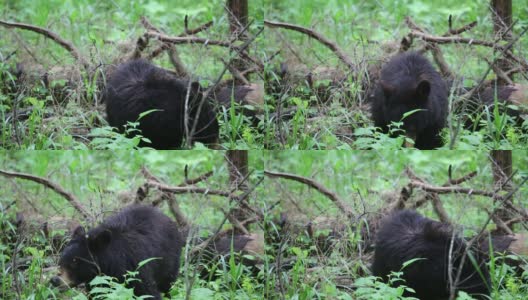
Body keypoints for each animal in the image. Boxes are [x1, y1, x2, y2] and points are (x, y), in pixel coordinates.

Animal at [51, 205, 184, 298]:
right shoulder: (98, 281)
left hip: (169, 261)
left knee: (167, 283)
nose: (55, 280)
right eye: (61, 259)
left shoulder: (135, 269)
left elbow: (147, 292)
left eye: (74, 261)